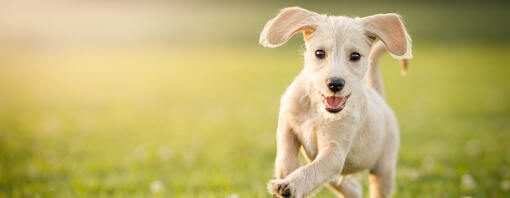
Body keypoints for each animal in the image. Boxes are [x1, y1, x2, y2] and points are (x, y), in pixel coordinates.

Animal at [260, 6, 412, 197]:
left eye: (355, 55)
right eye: (319, 53)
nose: (335, 84)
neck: (317, 109)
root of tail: (378, 96)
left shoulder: (334, 151)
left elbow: (312, 170)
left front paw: (290, 184)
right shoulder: (287, 126)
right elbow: (284, 159)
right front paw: (286, 177)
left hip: (384, 169)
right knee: (350, 186)